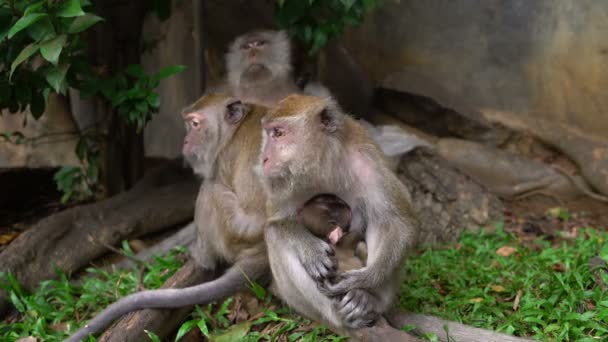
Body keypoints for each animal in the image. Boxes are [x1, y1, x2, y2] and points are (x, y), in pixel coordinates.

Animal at [256, 94, 418, 334]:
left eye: (279, 133)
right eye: (268, 134)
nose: (264, 158)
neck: (322, 163)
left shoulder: (369, 162)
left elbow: (398, 223)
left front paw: (363, 280)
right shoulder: (278, 183)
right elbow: (276, 223)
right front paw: (311, 250)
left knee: (379, 221)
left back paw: (366, 301)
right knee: (276, 238)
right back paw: (341, 317)